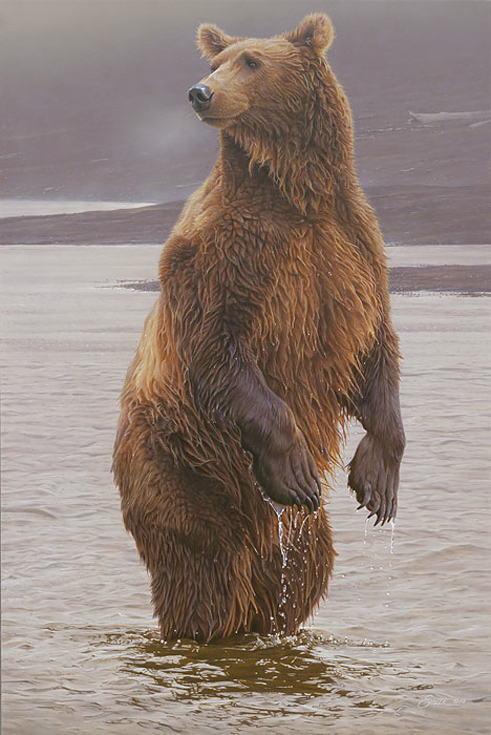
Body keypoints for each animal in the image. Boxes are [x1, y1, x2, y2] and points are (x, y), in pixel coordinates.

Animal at [112, 13, 405, 642]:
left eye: (251, 61)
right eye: (216, 62)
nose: (200, 92)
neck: (294, 193)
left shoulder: (354, 250)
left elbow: (375, 346)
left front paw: (378, 481)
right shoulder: (224, 253)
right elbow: (217, 345)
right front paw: (294, 466)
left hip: (290, 526)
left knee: (306, 565)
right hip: (182, 465)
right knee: (205, 570)